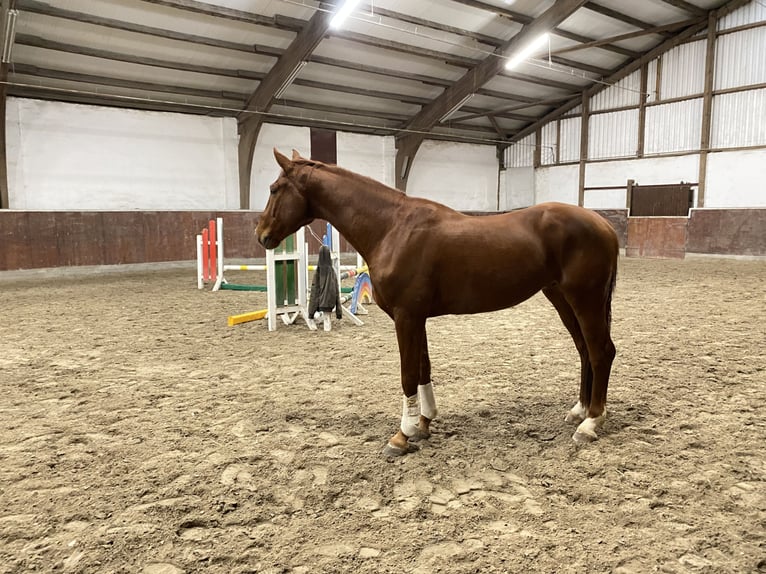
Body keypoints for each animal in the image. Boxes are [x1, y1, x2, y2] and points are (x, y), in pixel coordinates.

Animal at [260, 150, 620, 460]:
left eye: (275, 189)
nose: (261, 234)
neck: (392, 228)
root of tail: (604, 225)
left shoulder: (406, 317)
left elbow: (407, 374)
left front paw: (401, 436)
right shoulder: (416, 317)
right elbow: (423, 369)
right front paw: (423, 423)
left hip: (584, 299)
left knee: (601, 351)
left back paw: (591, 423)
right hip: (561, 298)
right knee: (585, 350)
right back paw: (579, 411)